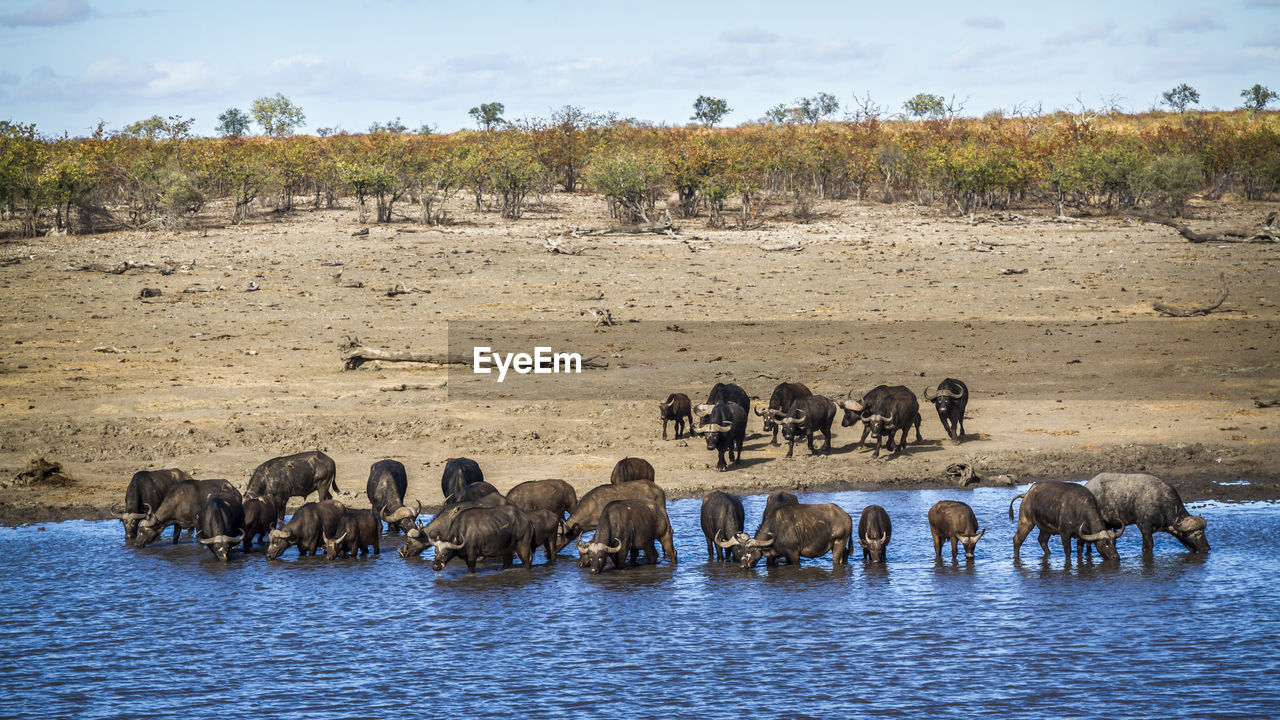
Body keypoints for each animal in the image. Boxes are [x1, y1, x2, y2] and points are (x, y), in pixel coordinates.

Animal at [721, 499, 849, 566]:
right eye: (741, 551)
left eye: (751, 551)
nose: (742, 566)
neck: (776, 528)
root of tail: (846, 516)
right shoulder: (772, 557)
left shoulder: (794, 554)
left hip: (839, 542)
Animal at [1080, 474, 1208, 550]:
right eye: (1196, 534)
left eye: (1203, 531)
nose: (1207, 548)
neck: (1161, 501)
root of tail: (1087, 486)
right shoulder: (1145, 528)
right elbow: (1148, 547)